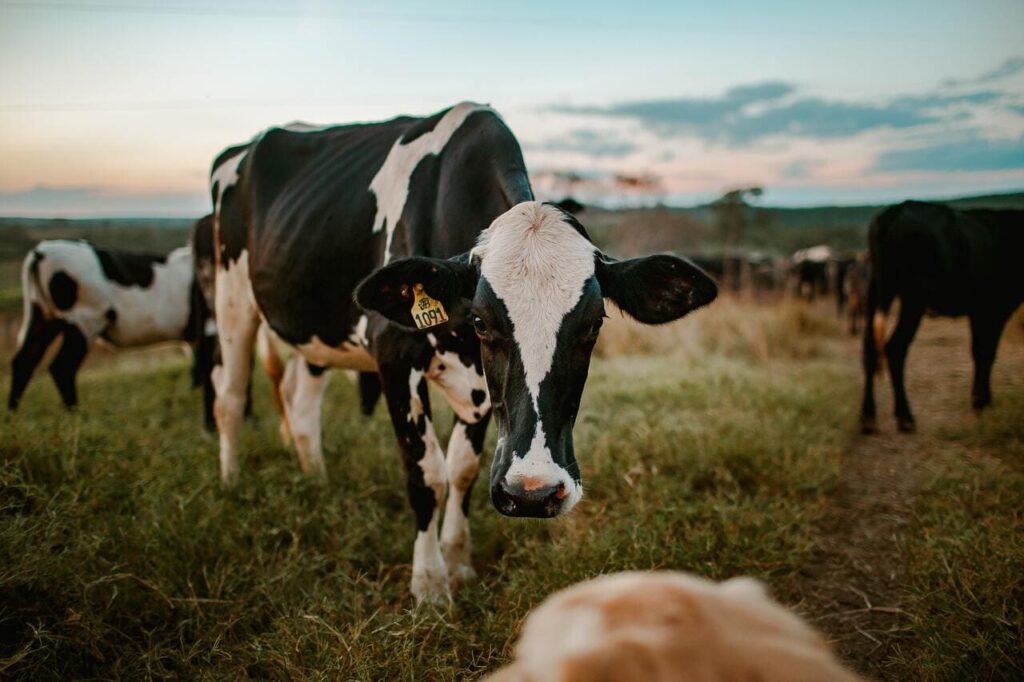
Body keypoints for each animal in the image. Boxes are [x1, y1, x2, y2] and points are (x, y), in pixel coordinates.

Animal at [9, 232, 212, 413]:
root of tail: (42, 251)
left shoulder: (194, 339)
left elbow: (197, 371)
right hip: (85, 318)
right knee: (62, 366)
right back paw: (75, 413)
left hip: (43, 316)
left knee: (24, 360)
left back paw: (13, 413)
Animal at [210, 100, 716, 602]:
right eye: (480, 322)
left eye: (594, 324)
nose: (533, 493)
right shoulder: (394, 356)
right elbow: (426, 474)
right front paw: (430, 583)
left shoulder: (481, 387)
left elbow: (462, 469)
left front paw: (458, 561)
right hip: (231, 297)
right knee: (229, 398)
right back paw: (230, 484)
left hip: (313, 331)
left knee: (300, 404)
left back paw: (316, 478)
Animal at [860, 199, 1019, 430]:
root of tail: (896, 210)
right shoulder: (993, 309)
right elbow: (986, 352)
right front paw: (982, 403)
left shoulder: (980, 312)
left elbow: (980, 351)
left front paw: (981, 401)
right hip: (913, 299)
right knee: (895, 347)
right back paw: (905, 418)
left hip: (877, 291)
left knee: (870, 348)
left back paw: (868, 418)